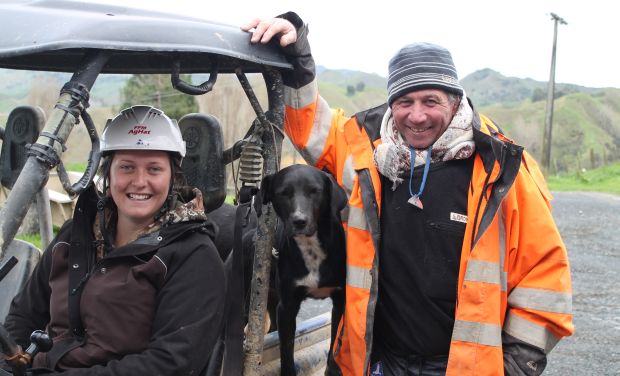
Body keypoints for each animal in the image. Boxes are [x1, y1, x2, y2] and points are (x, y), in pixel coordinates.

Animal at [260, 165, 348, 376]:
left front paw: (332, 370)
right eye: (283, 193)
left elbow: (335, 342)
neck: (310, 247)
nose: (299, 221)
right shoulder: (287, 307)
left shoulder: (340, 301)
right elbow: (286, 351)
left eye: (314, 191)